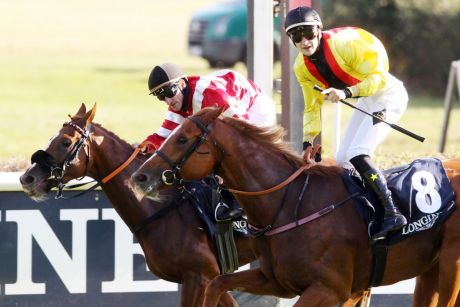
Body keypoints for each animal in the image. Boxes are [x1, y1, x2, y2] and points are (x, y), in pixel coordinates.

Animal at [131, 107, 460, 306]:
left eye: (182, 138)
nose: (140, 176)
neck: (290, 206)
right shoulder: (275, 281)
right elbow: (217, 284)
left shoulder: (329, 288)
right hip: (428, 271)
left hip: (451, 265)